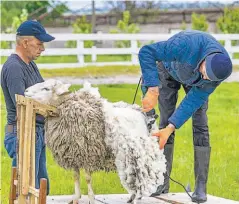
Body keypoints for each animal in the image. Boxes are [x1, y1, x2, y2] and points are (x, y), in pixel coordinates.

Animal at [24, 79, 166, 204]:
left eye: (46, 88)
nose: (25, 91)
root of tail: (144, 114)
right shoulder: (73, 155)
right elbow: (75, 177)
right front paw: (76, 198)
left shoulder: (88, 155)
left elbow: (87, 179)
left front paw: (91, 198)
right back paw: (131, 198)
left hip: (138, 156)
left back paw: (136, 197)